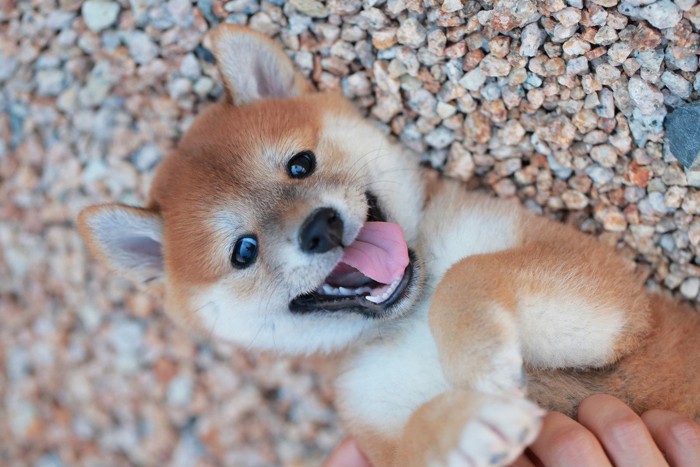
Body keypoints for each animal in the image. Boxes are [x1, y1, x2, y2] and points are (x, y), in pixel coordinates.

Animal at [79, 25, 700, 467]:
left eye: (300, 164)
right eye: (243, 251)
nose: (321, 227)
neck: (409, 315)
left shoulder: (609, 301)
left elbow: (465, 276)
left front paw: (479, 364)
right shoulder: (379, 416)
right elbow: (424, 433)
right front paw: (469, 424)